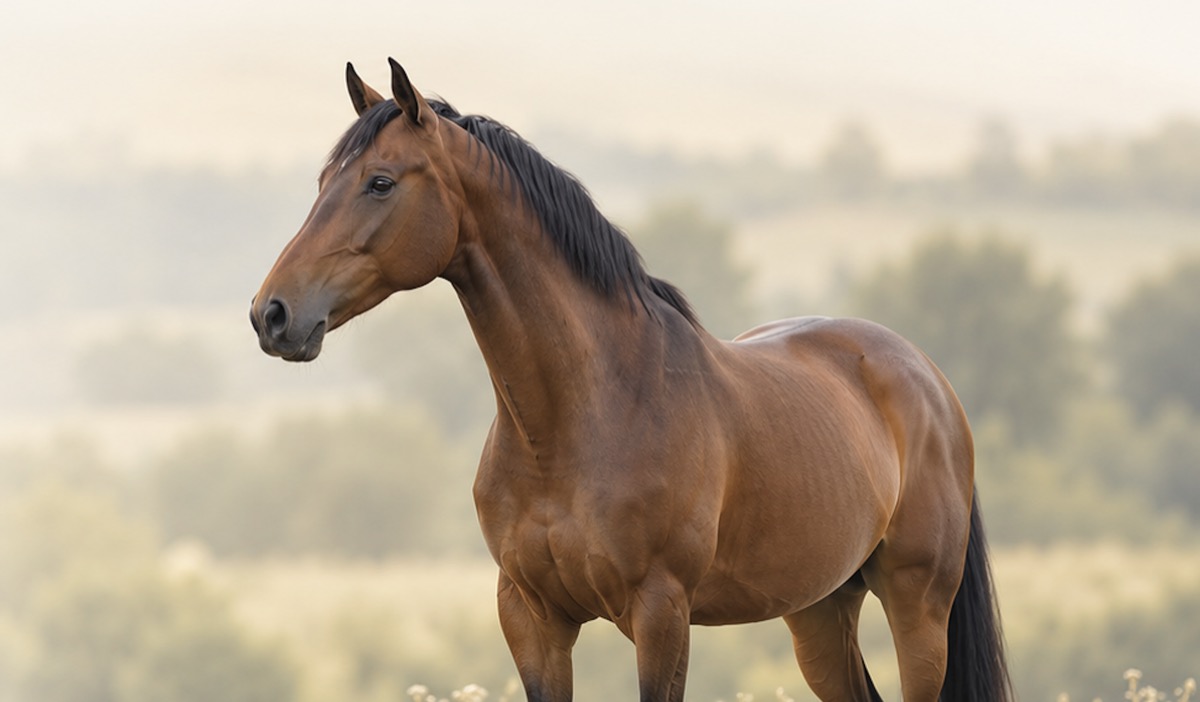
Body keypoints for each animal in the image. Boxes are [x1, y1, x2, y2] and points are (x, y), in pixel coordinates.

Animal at [249, 59, 1011, 702]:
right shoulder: (531, 617)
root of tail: (926, 378)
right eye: (322, 185)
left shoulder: (660, 612)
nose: (272, 313)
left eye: (380, 182)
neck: (580, 417)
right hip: (821, 610)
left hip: (917, 606)